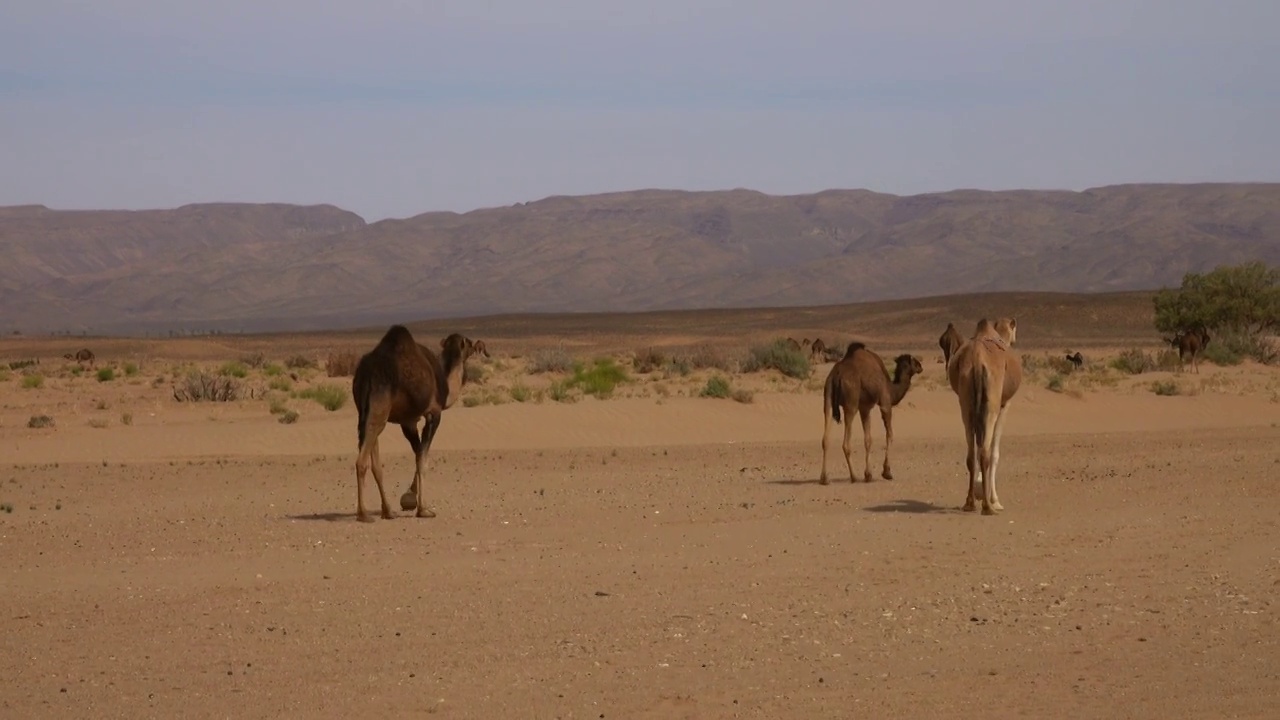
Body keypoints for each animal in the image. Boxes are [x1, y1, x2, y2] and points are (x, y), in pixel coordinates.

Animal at [819, 340, 921, 481]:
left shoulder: (865, 408)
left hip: (827, 396)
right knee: (846, 443)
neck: (891, 388)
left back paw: (824, 478)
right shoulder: (885, 403)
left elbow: (868, 440)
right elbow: (889, 435)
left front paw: (868, 474)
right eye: (915, 362)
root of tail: (836, 375)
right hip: (851, 401)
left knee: (825, 438)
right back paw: (854, 476)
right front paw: (886, 472)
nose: (921, 366)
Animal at [947, 316, 1024, 512]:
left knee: (971, 453)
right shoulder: (1004, 405)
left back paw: (969, 503)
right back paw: (988, 506)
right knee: (986, 453)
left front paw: (980, 491)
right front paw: (994, 499)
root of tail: (977, 359)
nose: (1015, 339)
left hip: (966, 402)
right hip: (991, 404)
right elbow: (995, 453)